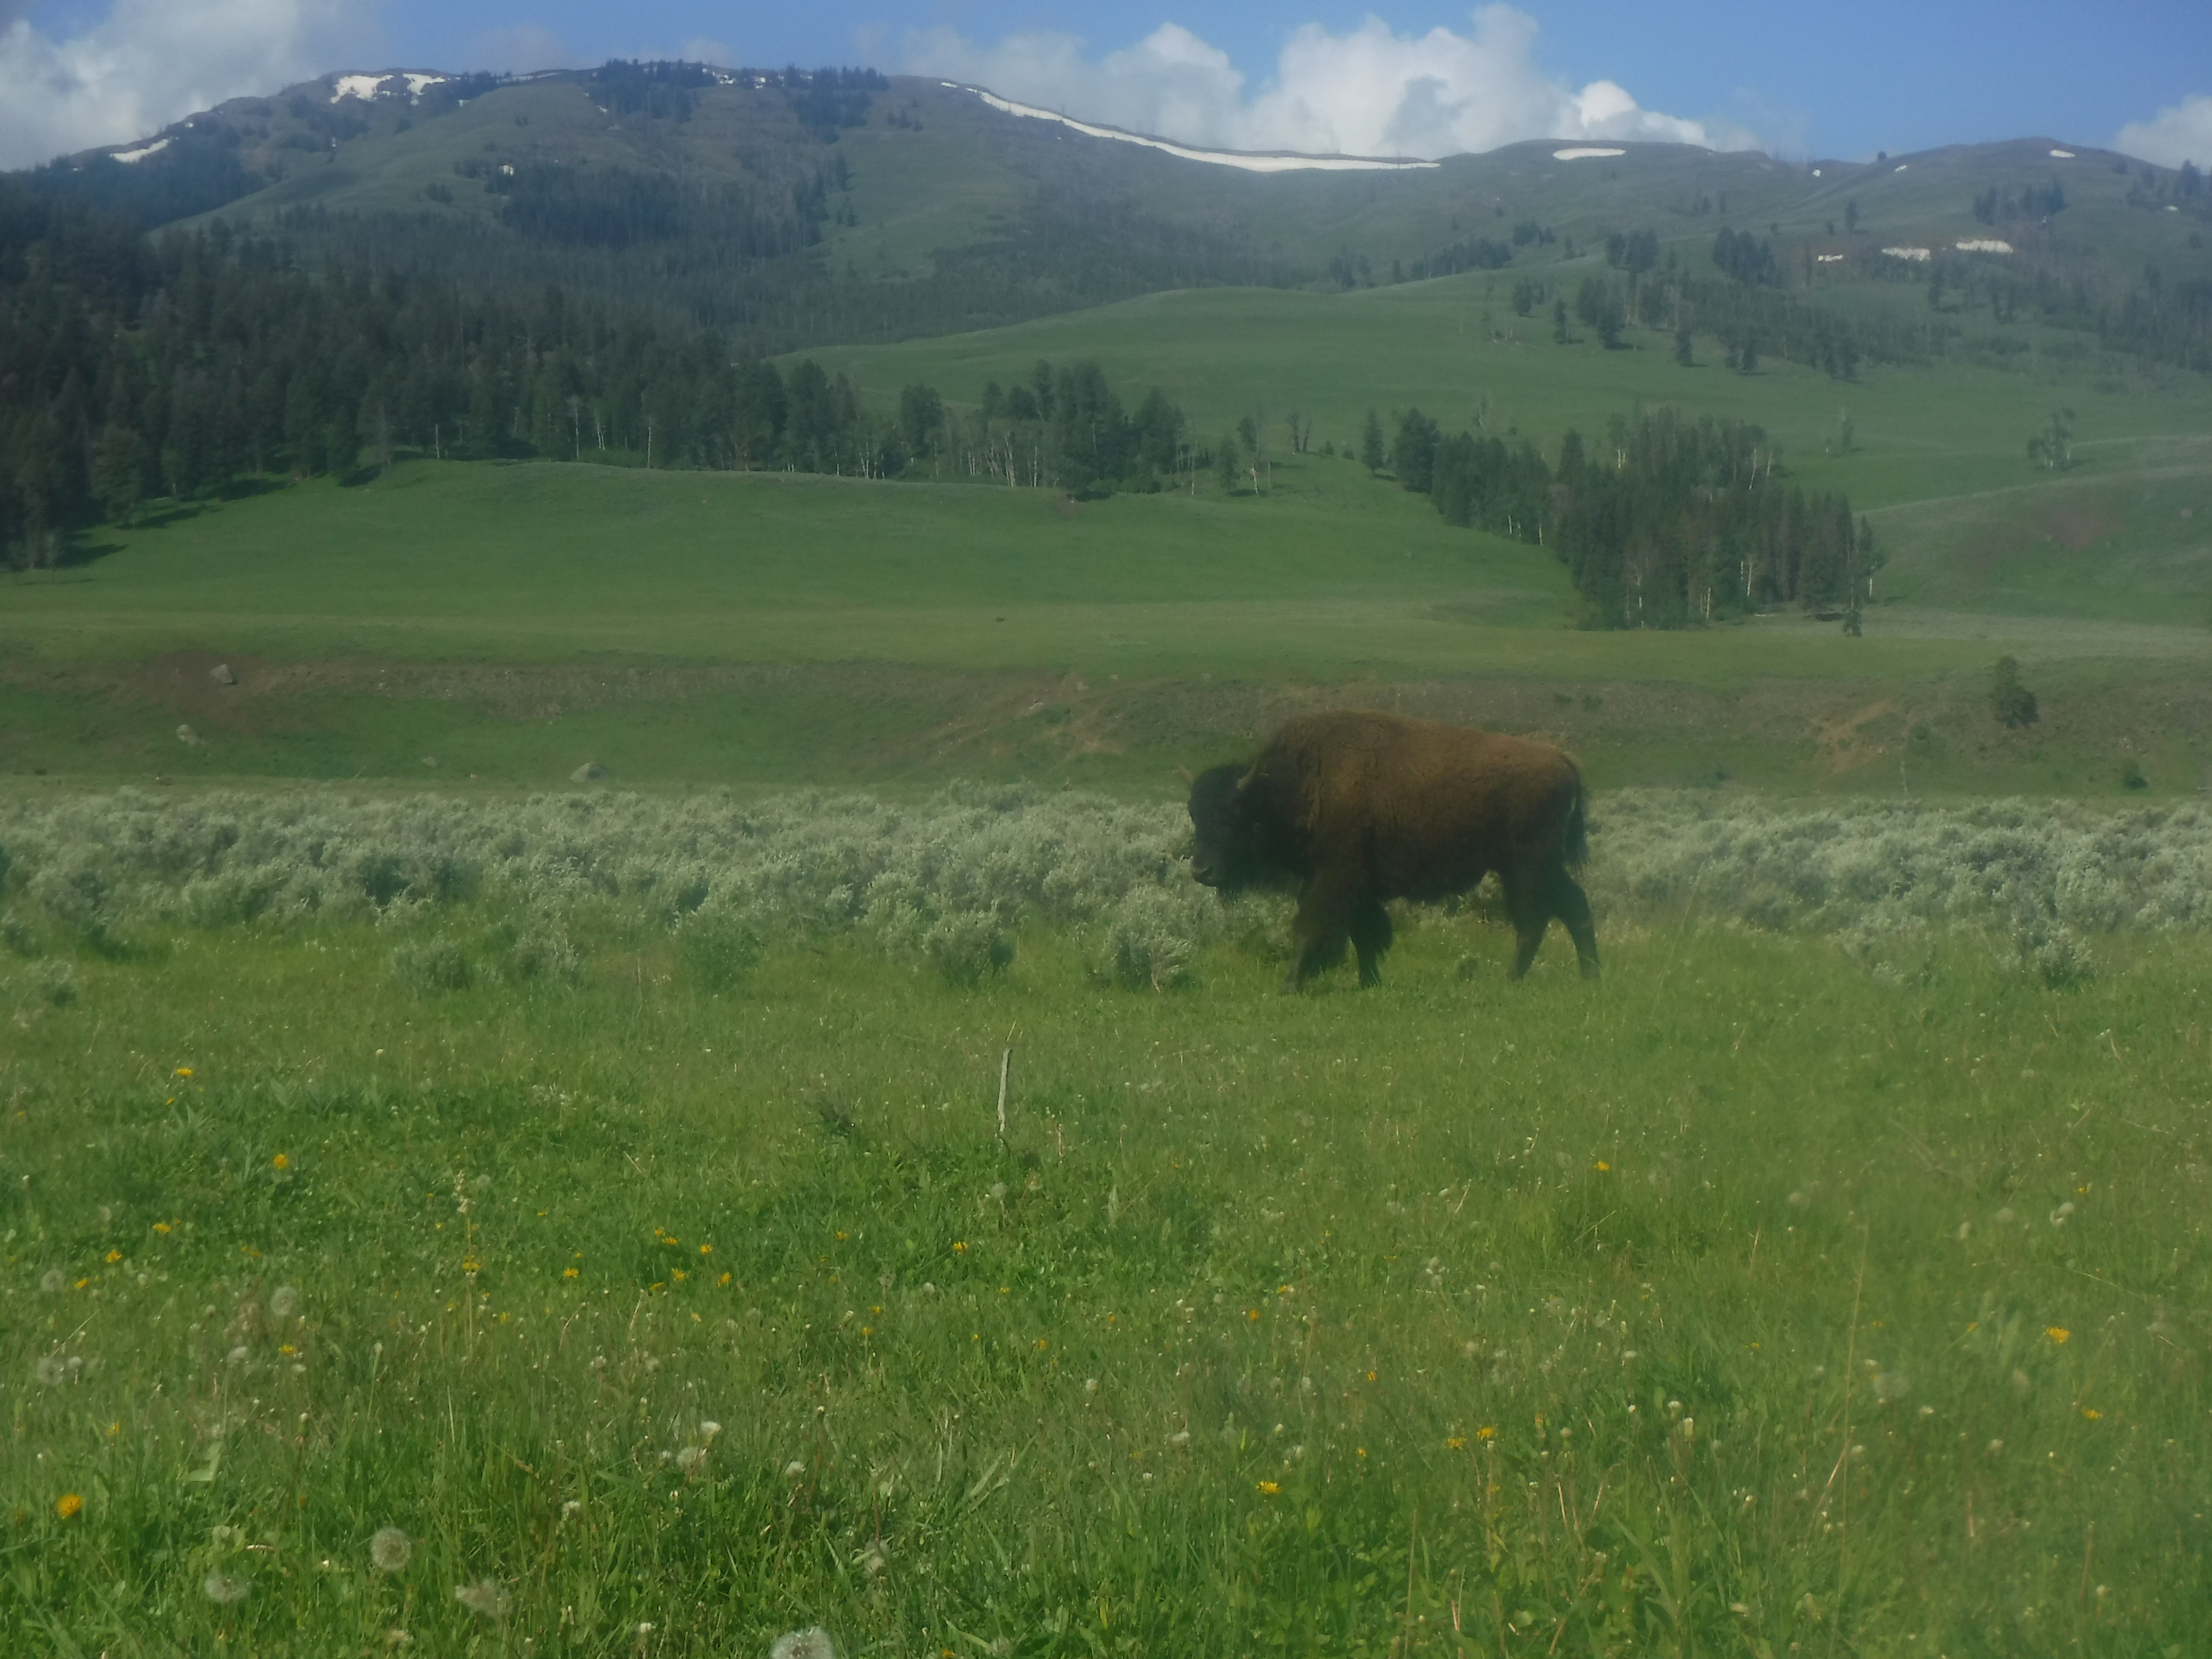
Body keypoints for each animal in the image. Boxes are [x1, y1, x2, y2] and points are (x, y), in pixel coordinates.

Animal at [1185, 712, 1601, 986]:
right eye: (1194, 813)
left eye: (1234, 813)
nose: (1201, 872)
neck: (1293, 788)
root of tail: (1562, 760)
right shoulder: (1357, 884)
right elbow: (1366, 934)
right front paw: (1369, 983)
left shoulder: (1335, 877)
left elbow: (1311, 927)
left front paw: (1291, 985)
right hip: (1536, 865)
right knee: (1575, 907)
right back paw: (1590, 978)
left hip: (1526, 865)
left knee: (1534, 920)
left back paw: (1510, 980)